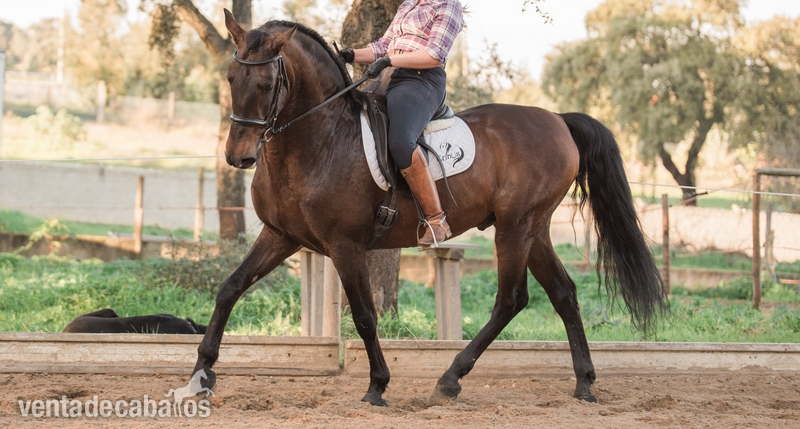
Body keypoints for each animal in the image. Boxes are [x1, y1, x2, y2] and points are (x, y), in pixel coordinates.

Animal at [191, 10, 666, 407]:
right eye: (230, 77)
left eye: (266, 85)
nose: (239, 157)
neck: (317, 140)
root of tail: (558, 120)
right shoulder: (281, 236)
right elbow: (230, 287)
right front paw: (202, 372)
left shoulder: (345, 246)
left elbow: (365, 315)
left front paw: (377, 386)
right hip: (536, 229)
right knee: (563, 294)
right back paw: (583, 383)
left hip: (515, 227)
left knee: (510, 299)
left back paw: (450, 380)